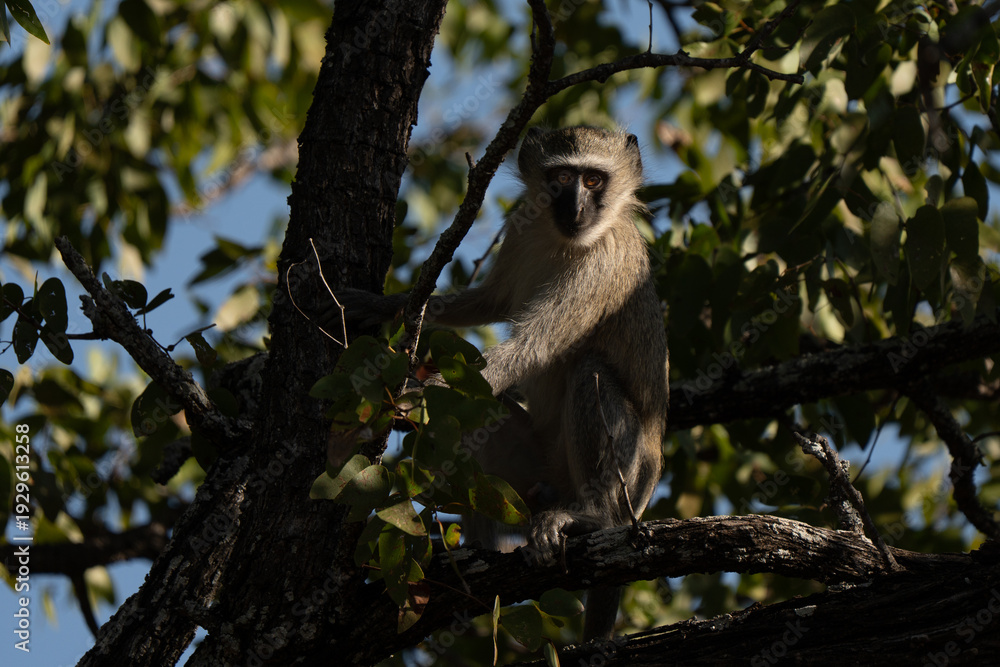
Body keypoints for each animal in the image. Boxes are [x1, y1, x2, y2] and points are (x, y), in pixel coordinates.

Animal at [325, 126, 668, 641]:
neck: (565, 241)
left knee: (589, 370)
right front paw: (381, 305)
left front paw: (410, 398)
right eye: (561, 178)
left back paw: (590, 519)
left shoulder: (601, 268)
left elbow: (533, 345)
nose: (574, 209)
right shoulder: (519, 233)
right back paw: (477, 556)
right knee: (464, 424)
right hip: (529, 478)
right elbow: (488, 303)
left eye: (593, 180)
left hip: (632, 477)